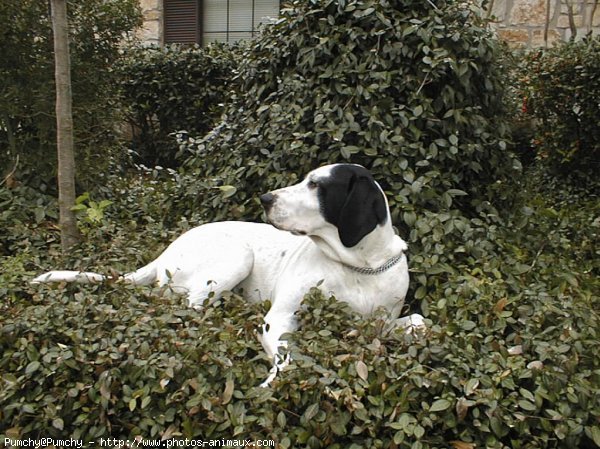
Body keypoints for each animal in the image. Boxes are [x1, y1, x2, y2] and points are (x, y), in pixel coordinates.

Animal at [32, 164, 424, 384]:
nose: (265, 199)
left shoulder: (385, 320)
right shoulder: (280, 319)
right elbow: (287, 359)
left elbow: (420, 323)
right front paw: (272, 384)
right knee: (188, 309)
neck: (360, 266)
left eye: (316, 185)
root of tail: (163, 254)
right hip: (238, 256)